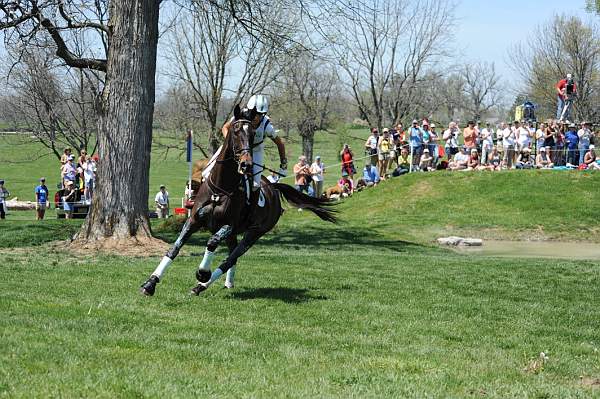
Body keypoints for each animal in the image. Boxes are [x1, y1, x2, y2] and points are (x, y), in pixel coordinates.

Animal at [140, 106, 338, 296]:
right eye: (235, 131)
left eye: (252, 135)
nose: (246, 164)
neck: (220, 189)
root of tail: (274, 188)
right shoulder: (195, 219)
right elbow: (174, 248)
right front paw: (150, 283)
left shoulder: (229, 225)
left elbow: (212, 242)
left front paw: (202, 273)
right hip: (235, 234)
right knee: (231, 255)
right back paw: (225, 283)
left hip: (253, 234)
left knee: (231, 258)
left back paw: (201, 285)